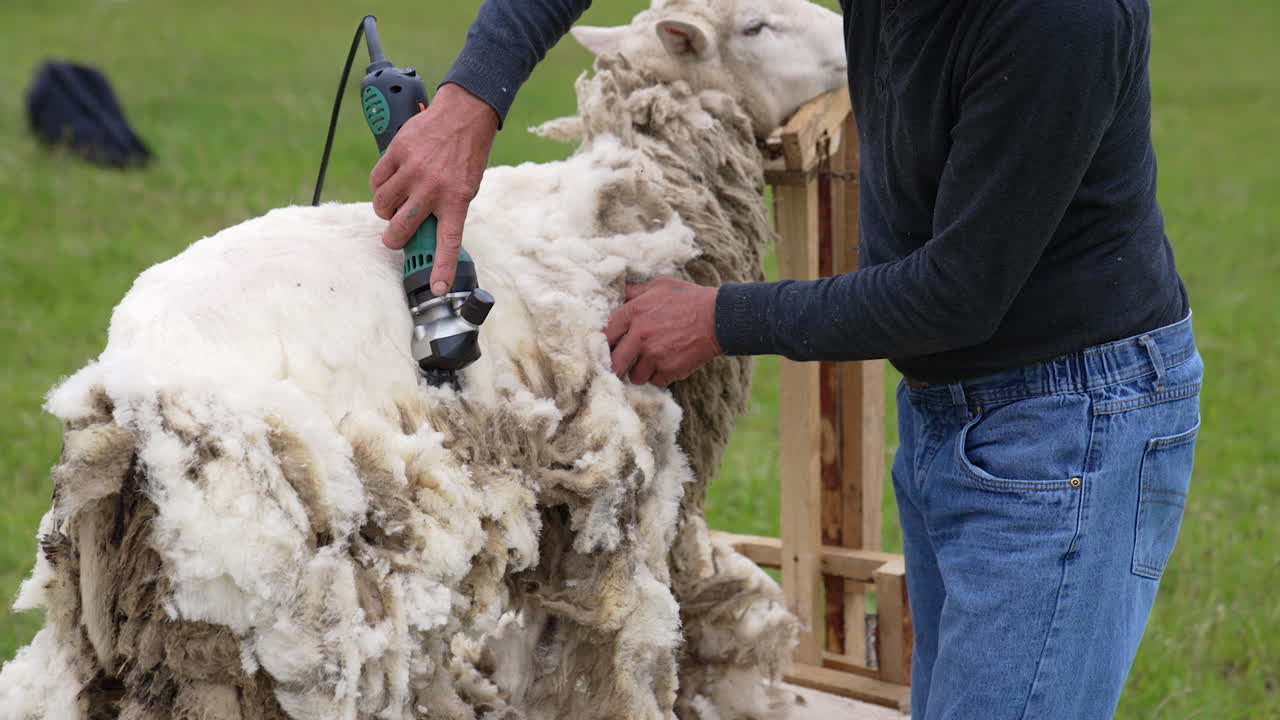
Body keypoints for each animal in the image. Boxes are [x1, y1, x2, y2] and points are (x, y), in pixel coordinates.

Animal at [0, 2, 848, 719]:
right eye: (758, 26)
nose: (847, 45)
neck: (628, 206)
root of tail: (121, 387)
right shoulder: (626, 493)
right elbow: (615, 655)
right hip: (252, 607)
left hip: (118, 605)